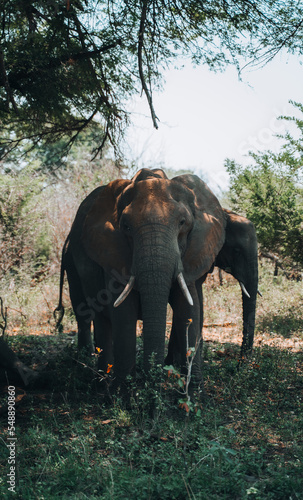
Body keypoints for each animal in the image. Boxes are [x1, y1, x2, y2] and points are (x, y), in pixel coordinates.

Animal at [54, 169, 227, 390]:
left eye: (182, 223)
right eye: (126, 226)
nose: (153, 382)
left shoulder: (190, 253)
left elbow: (189, 308)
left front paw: (195, 393)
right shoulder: (113, 252)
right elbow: (123, 310)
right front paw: (124, 395)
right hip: (71, 262)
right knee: (88, 313)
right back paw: (95, 377)